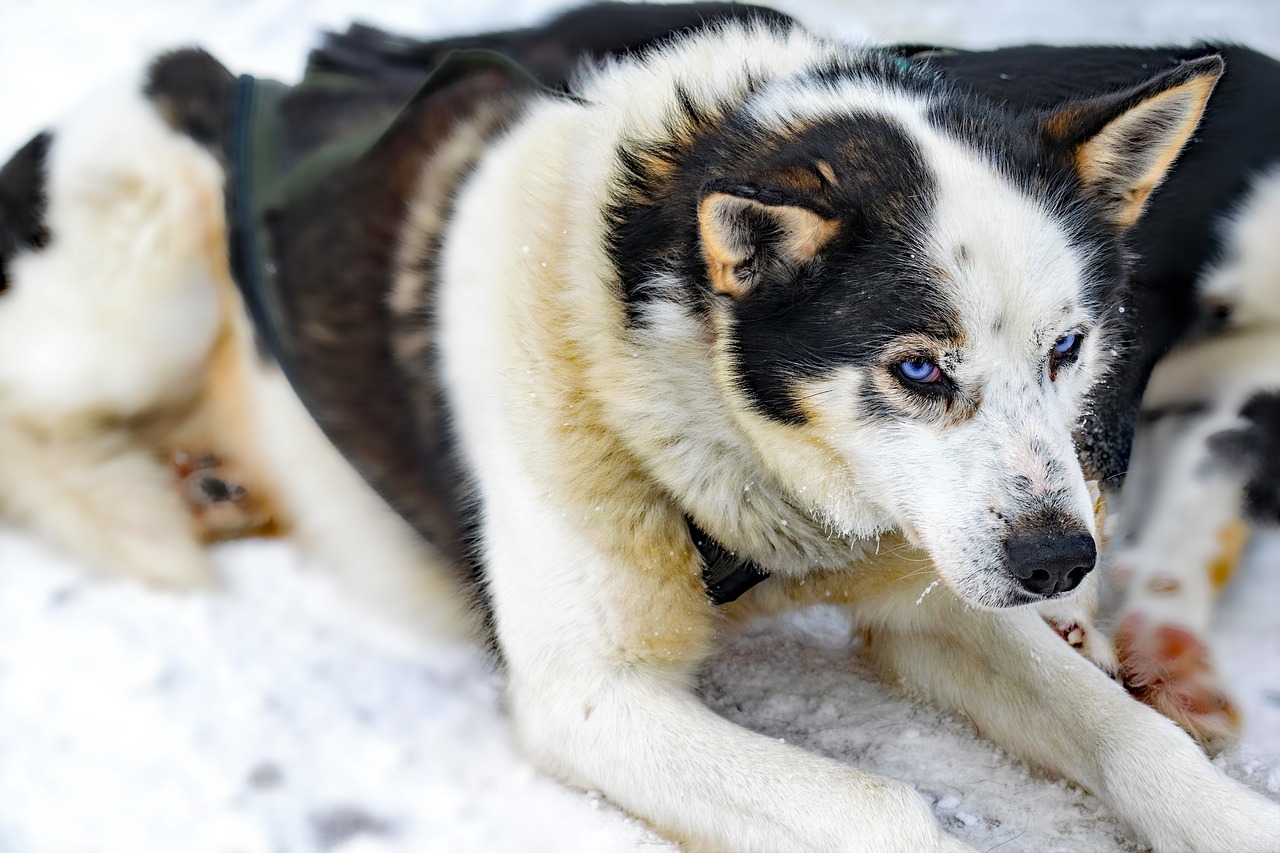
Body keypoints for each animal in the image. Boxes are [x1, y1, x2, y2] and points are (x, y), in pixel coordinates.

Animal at [2, 6, 1280, 850]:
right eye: (918, 369)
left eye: (1066, 349)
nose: (1061, 559)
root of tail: (203, 70)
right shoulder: (589, 695)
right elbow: (883, 809)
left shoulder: (933, 595)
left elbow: (1135, 738)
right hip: (149, 292)